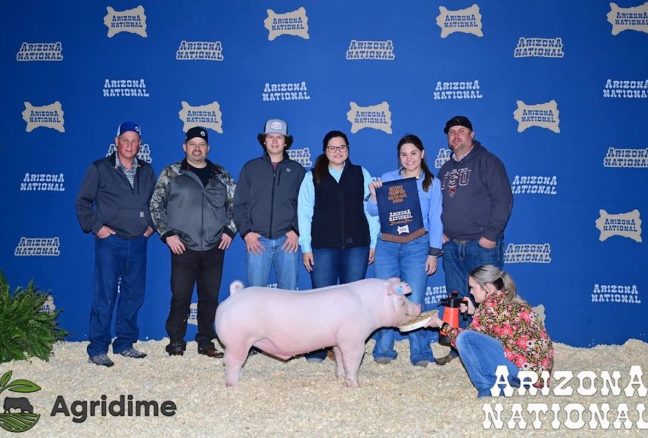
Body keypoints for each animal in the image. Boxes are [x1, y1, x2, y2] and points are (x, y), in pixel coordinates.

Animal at [214, 278, 420, 386]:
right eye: (402, 301)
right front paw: (354, 385)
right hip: (238, 341)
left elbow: (340, 359)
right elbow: (352, 361)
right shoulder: (353, 339)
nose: (418, 306)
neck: (369, 306)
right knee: (231, 362)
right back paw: (232, 384)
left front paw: (339, 377)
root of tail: (234, 295)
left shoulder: (338, 340)